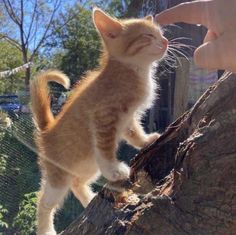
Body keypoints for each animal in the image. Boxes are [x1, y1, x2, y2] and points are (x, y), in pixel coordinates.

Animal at [30, 7, 169, 235]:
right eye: (148, 36)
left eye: (161, 34)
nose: (165, 41)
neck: (133, 71)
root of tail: (47, 129)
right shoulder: (103, 117)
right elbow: (105, 148)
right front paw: (113, 170)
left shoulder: (128, 118)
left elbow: (134, 133)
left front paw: (147, 141)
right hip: (58, 175)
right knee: (44, 201)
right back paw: (46, 230)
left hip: (86, 165)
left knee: (77, 183)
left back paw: (89, 199)